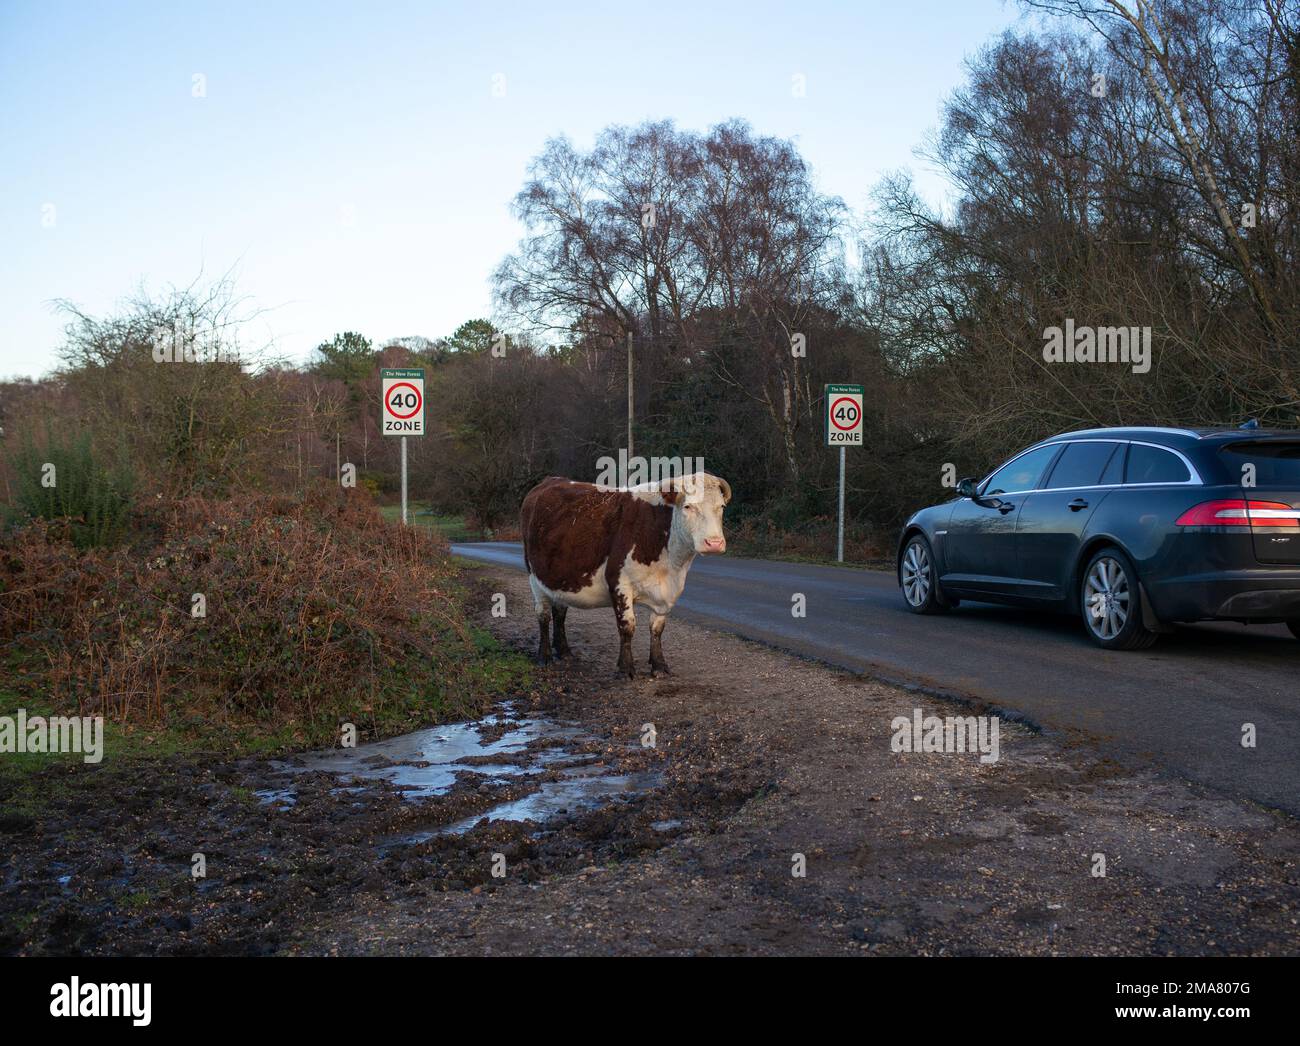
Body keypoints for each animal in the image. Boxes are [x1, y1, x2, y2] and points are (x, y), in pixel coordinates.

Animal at [517, 472, 733, 675]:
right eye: (688, 507)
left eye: (721, 506)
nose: (714, 543)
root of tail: (550, 480)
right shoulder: (619, 583)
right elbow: (627, 626)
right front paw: (625, 668)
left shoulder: (667, 592)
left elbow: (657, 628)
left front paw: (659, 665)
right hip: (535, 577)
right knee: (543, 614)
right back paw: (544, 656)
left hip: (559, 579)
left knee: (560, 611)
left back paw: (564, 651)